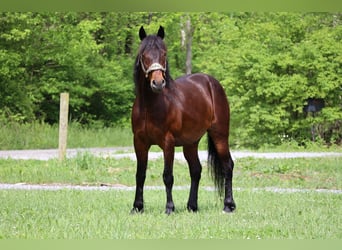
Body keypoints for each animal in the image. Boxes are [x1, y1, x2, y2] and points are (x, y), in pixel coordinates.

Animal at [131, 25, 235, 214]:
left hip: (220, 135)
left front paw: (169, 208)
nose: (158, 83)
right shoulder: (139, 142)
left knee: (227, 166)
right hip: (191, 142)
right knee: (196, 170)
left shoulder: (168, 142)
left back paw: (228, 205)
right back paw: (192, 206)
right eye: (144, 55)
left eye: (164, 53)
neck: (150, 106)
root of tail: (211, 82)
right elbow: (140, 175)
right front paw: (137, 207)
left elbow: (168, 176)